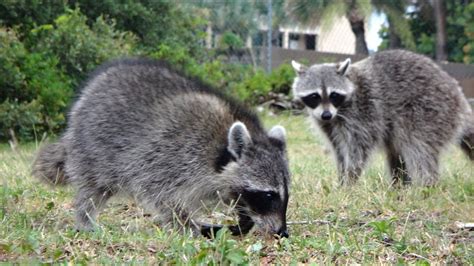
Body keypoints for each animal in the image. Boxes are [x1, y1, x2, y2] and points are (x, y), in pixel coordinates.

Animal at [32, 58, 288, 237]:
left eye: (285, 194)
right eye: (268, 195)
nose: (282, 233)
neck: (218, 148)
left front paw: (242, 220)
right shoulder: (169, 155)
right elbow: (161, 194)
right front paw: (187, 226)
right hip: (93, 147)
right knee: (93, 189)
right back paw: (85, 219)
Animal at [290, 49, 472, 185]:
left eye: (334, 95)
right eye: (314, 96)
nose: (326, 115)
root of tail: (460, 95)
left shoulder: (363, 113)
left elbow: (359, 149)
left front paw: (350, 180)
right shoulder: (327, 123)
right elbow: (339, 150)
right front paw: (341, 179)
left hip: (430, 110)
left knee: (419, 148)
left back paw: (426, 185)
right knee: (398, 151)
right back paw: (400, 185)